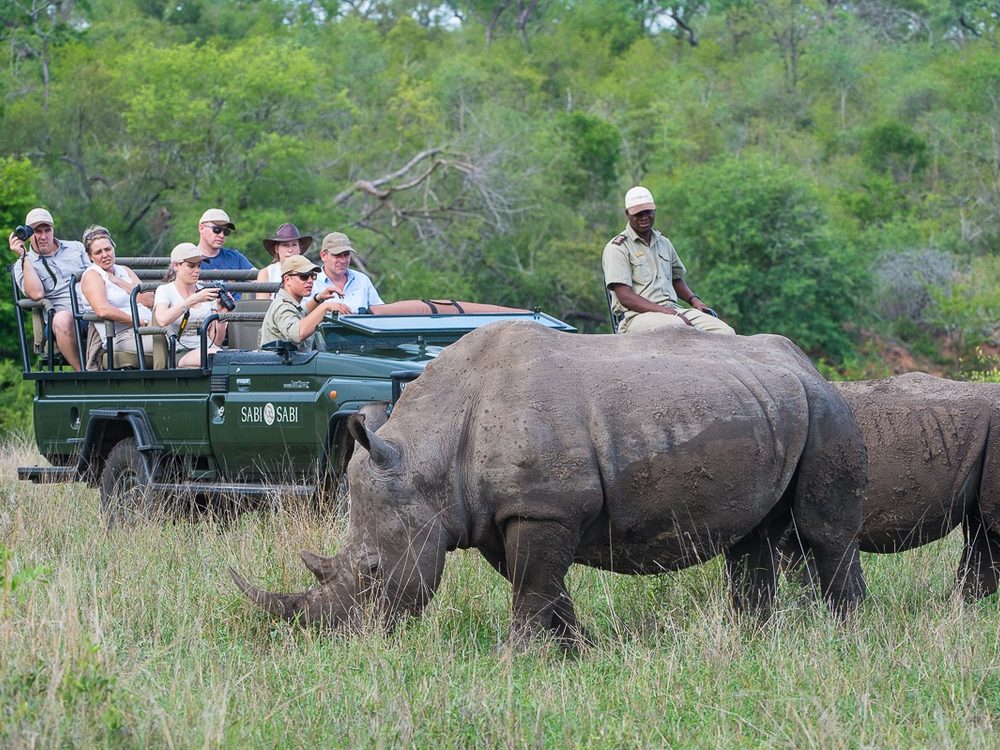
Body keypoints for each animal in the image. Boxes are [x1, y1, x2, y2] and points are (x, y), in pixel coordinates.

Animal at [232, 322, 867, 646]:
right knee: (752, 538)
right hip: (767, 406)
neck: (427, 457)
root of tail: (808, 364)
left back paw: (847, 636)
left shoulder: (543, 508)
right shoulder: (500, 513)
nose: (337, 641)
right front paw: (576, 652)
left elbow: (532, 586)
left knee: (825, 533)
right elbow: (538, 586)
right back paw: (752, 640)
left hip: (827, 409)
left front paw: (516, 659)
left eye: (370, 570)